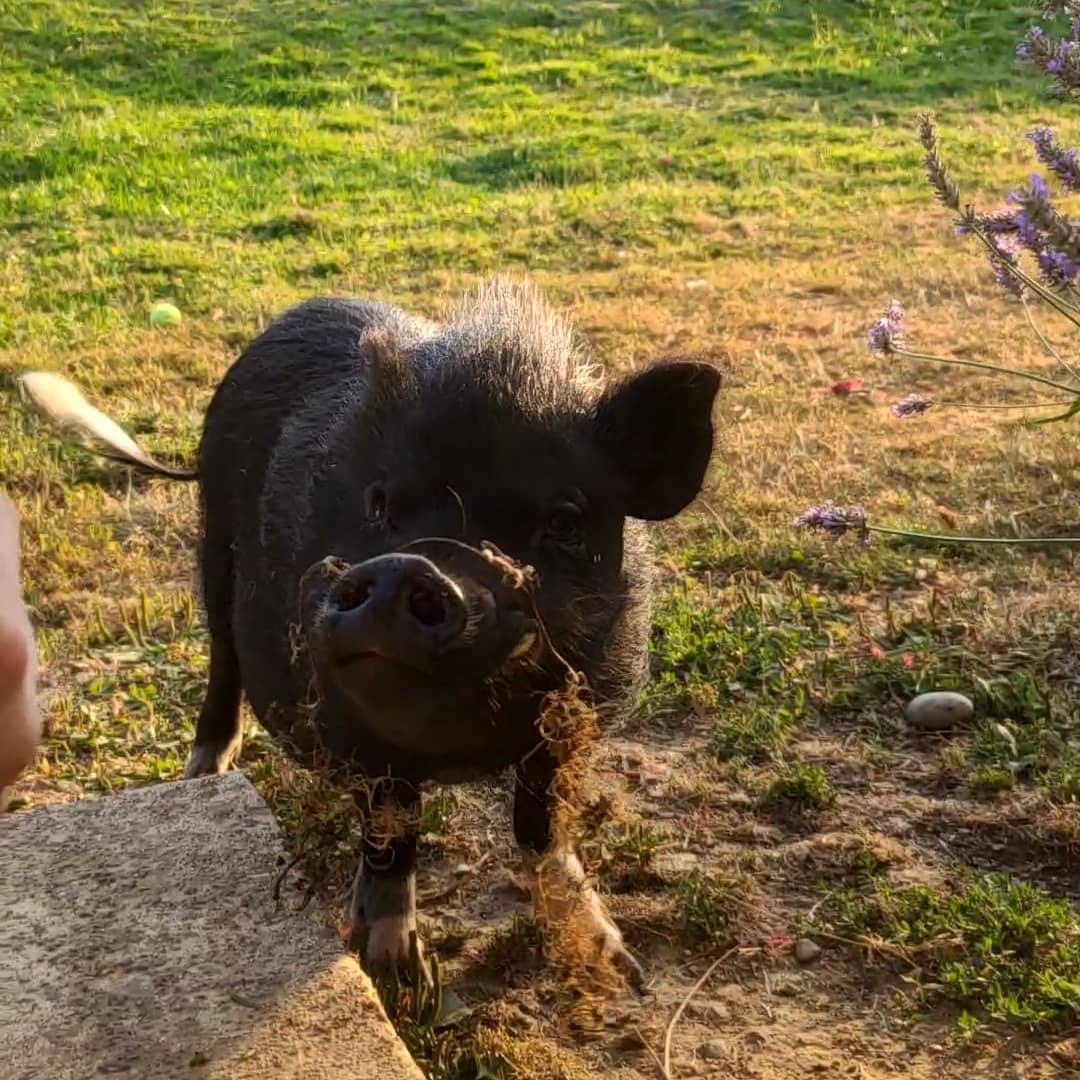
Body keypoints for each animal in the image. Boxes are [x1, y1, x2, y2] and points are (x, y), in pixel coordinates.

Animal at [21, 278, 720, 987]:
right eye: (378, 502)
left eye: (566, 522)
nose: (406, 567)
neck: (457, 746)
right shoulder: (356, 728)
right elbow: (393, 826)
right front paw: (396, 970)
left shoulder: (570, 722)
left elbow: (541, 827)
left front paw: (621, 970)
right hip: (212, 542)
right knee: (222, 658)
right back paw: (203, 773)